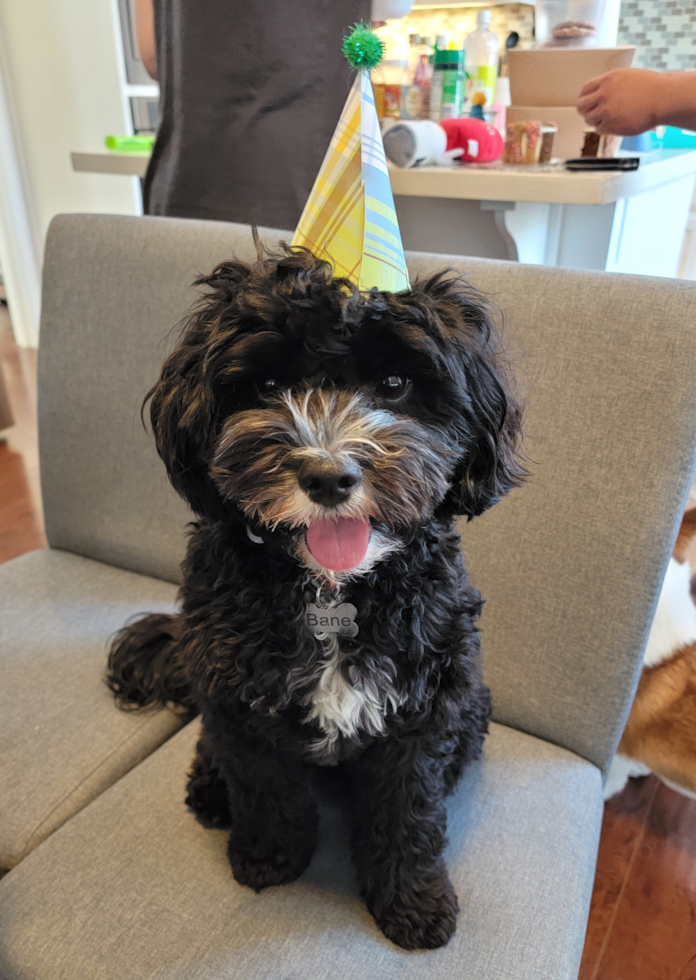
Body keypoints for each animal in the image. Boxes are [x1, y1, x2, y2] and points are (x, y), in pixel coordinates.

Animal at [107, 243, 520, 948]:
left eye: (395, 384)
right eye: (268, 386)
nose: (329, 476)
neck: (333, 589)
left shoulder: (421, 713)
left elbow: (409, 815)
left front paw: (413, 903)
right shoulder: (243, 707)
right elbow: (268, 793)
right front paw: (268, 858)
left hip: (470, 703)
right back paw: (211, 792)